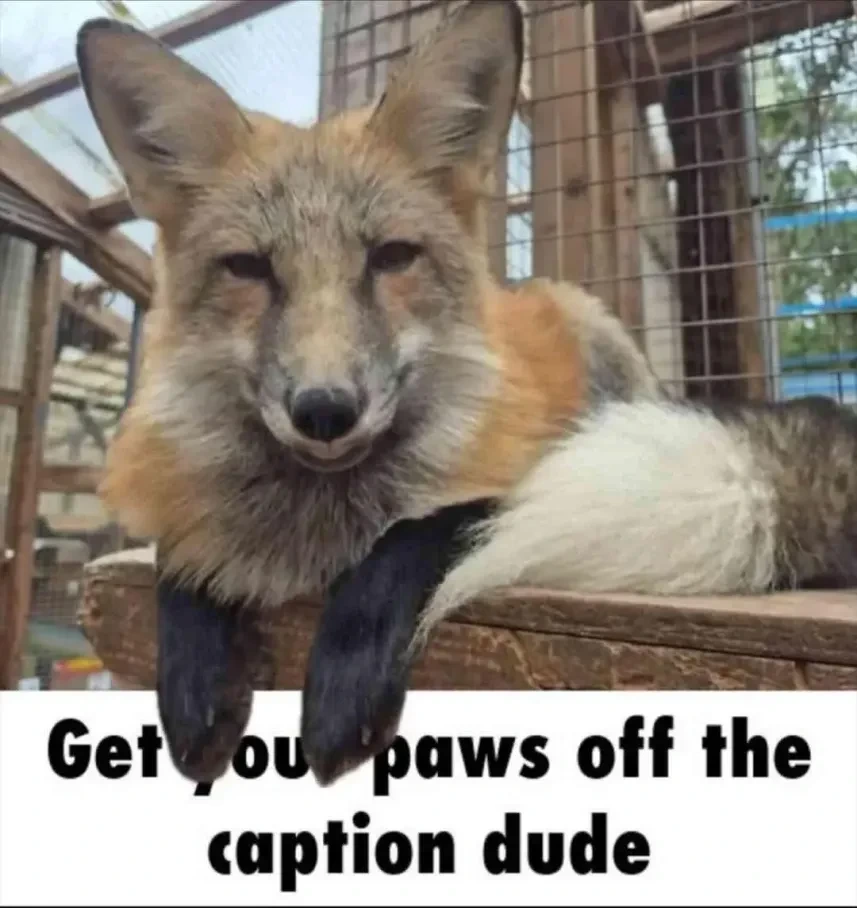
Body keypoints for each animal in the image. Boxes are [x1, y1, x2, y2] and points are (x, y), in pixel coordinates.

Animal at [75, 0, 857, 787]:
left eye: (392, 257)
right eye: (247, 268)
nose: (325, 411)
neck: (318, 524)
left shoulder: (521, 477)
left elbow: (411, 534)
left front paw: (344, 677)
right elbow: (178, 548)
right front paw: (194, 670)